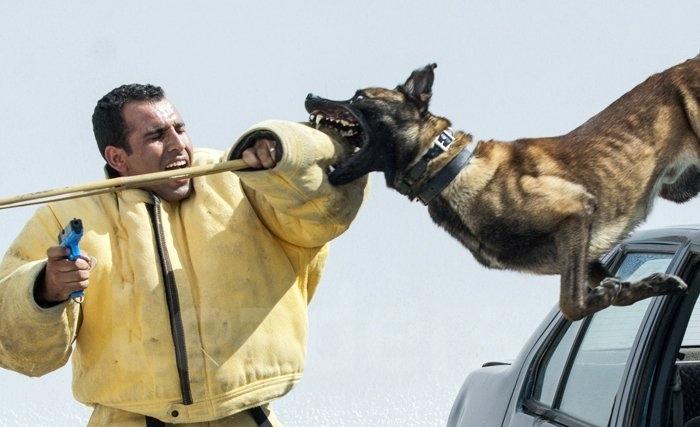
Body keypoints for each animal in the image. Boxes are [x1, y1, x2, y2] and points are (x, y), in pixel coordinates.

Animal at [306, 56, 700, 320]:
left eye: (359, 97)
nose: (309, 96)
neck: (448, 165)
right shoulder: (581, 253)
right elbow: (611, 287)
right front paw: (648, 286)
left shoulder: (575, 211)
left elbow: (571, 304)